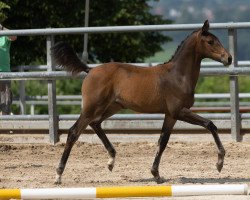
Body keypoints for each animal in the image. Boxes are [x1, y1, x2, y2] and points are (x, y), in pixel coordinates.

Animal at [51, 20, 232, 184]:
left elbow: (162, 141)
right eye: (210, 41)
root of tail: (90, 70)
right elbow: (210, 124)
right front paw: (219, 163)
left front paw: (156, 174)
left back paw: (111, 161)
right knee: (74, 132)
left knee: (95, 124)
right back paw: (58, 175)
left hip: (112, 107)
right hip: (92, 107)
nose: (228, 58)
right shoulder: (178, 111)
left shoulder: (170, 115)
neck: (177, 76)